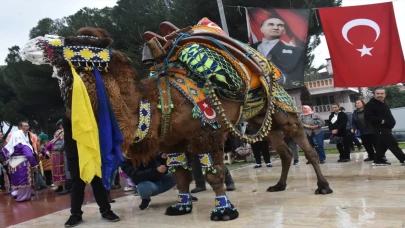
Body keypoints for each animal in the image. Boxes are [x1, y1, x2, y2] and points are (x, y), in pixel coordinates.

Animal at [22, 25, 332, 222]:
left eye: (76, 40)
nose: (30, 44)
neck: (151, 105)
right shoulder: (171, 142)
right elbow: (180, 174)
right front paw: (181, 206)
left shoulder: (207, 134)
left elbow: (213, 175)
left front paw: (223, 211)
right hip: (260, 119)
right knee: (284, 151)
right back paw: (279, 185)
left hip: (283, 110)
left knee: (306, 146)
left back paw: (323, 186)